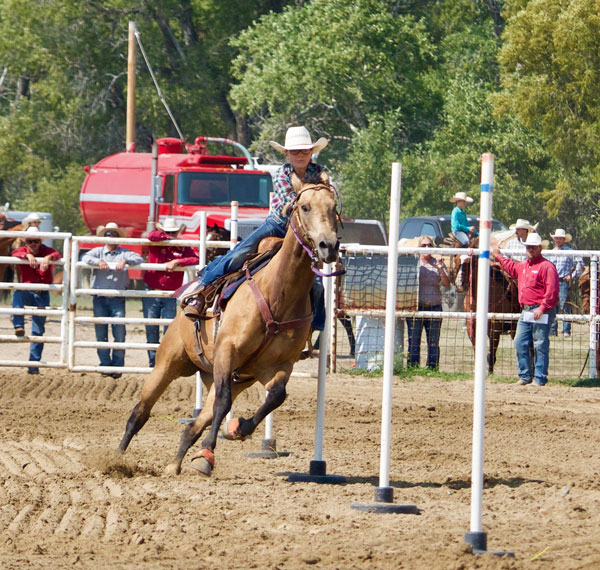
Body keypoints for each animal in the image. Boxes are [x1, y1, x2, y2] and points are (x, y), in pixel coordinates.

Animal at [119, 172, 340, 474]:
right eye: (304, 207)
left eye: (334, 207)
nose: (329, 246)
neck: (278, 293)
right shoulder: (228, 350)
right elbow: (224, 403)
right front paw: (207, 457)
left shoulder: (278, 366)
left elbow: (276, 396)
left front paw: (239, 428)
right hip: (168, 363)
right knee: (140, 412)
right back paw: (116, 458)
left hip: (227, 377)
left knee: (195, 424)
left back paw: (175, 465)